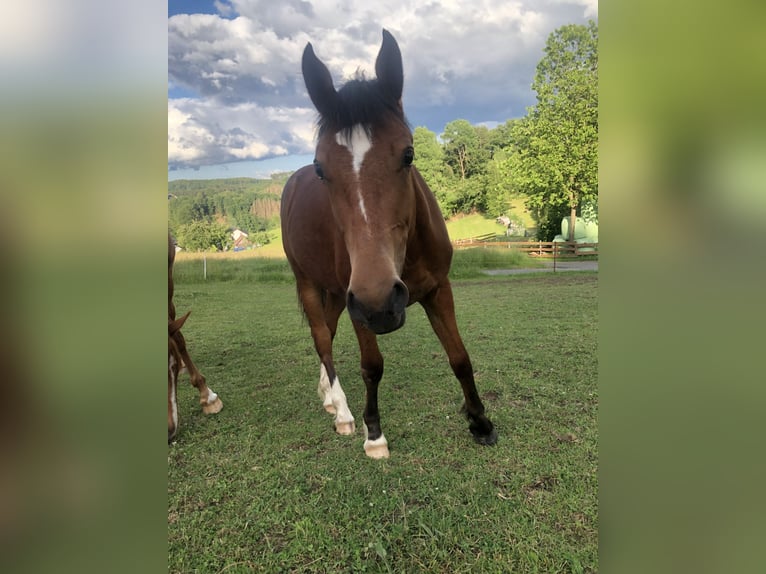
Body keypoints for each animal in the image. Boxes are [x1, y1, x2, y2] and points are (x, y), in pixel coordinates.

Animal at [282, 29, 498, 462]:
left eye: (408, 153)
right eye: (321, 168)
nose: (381, 302)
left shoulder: (438, 290)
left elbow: (460, 357)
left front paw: (480, 421)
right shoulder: (359, 307)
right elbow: (372, 367)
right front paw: (374, 433)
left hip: (337, 294)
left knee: (326, 333)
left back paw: (328, 395)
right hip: (312, 285)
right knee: (322, 340)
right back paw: (343, 413)